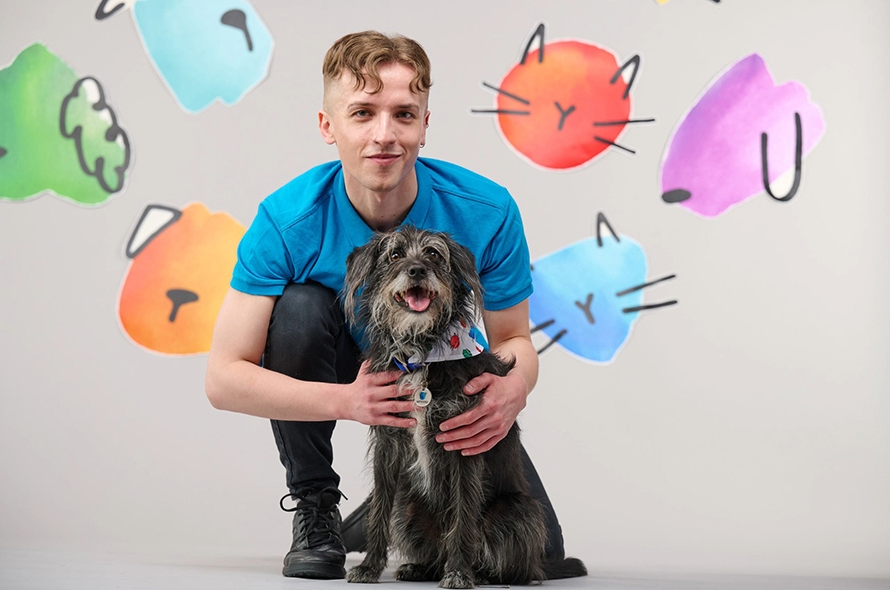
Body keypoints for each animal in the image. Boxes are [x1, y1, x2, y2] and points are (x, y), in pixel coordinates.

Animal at [340, 225, 584, 588]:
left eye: (433, 254)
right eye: (395, 254)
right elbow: (378, 511)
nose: (417, 270)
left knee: (516, 566)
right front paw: (370, 567)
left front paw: (458, 573)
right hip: (407, 508)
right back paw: (422, 568)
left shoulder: (464, 441)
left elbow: (463, 515)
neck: (421, 352)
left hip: (519, 513)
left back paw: (479, 573)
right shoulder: (388, 442)